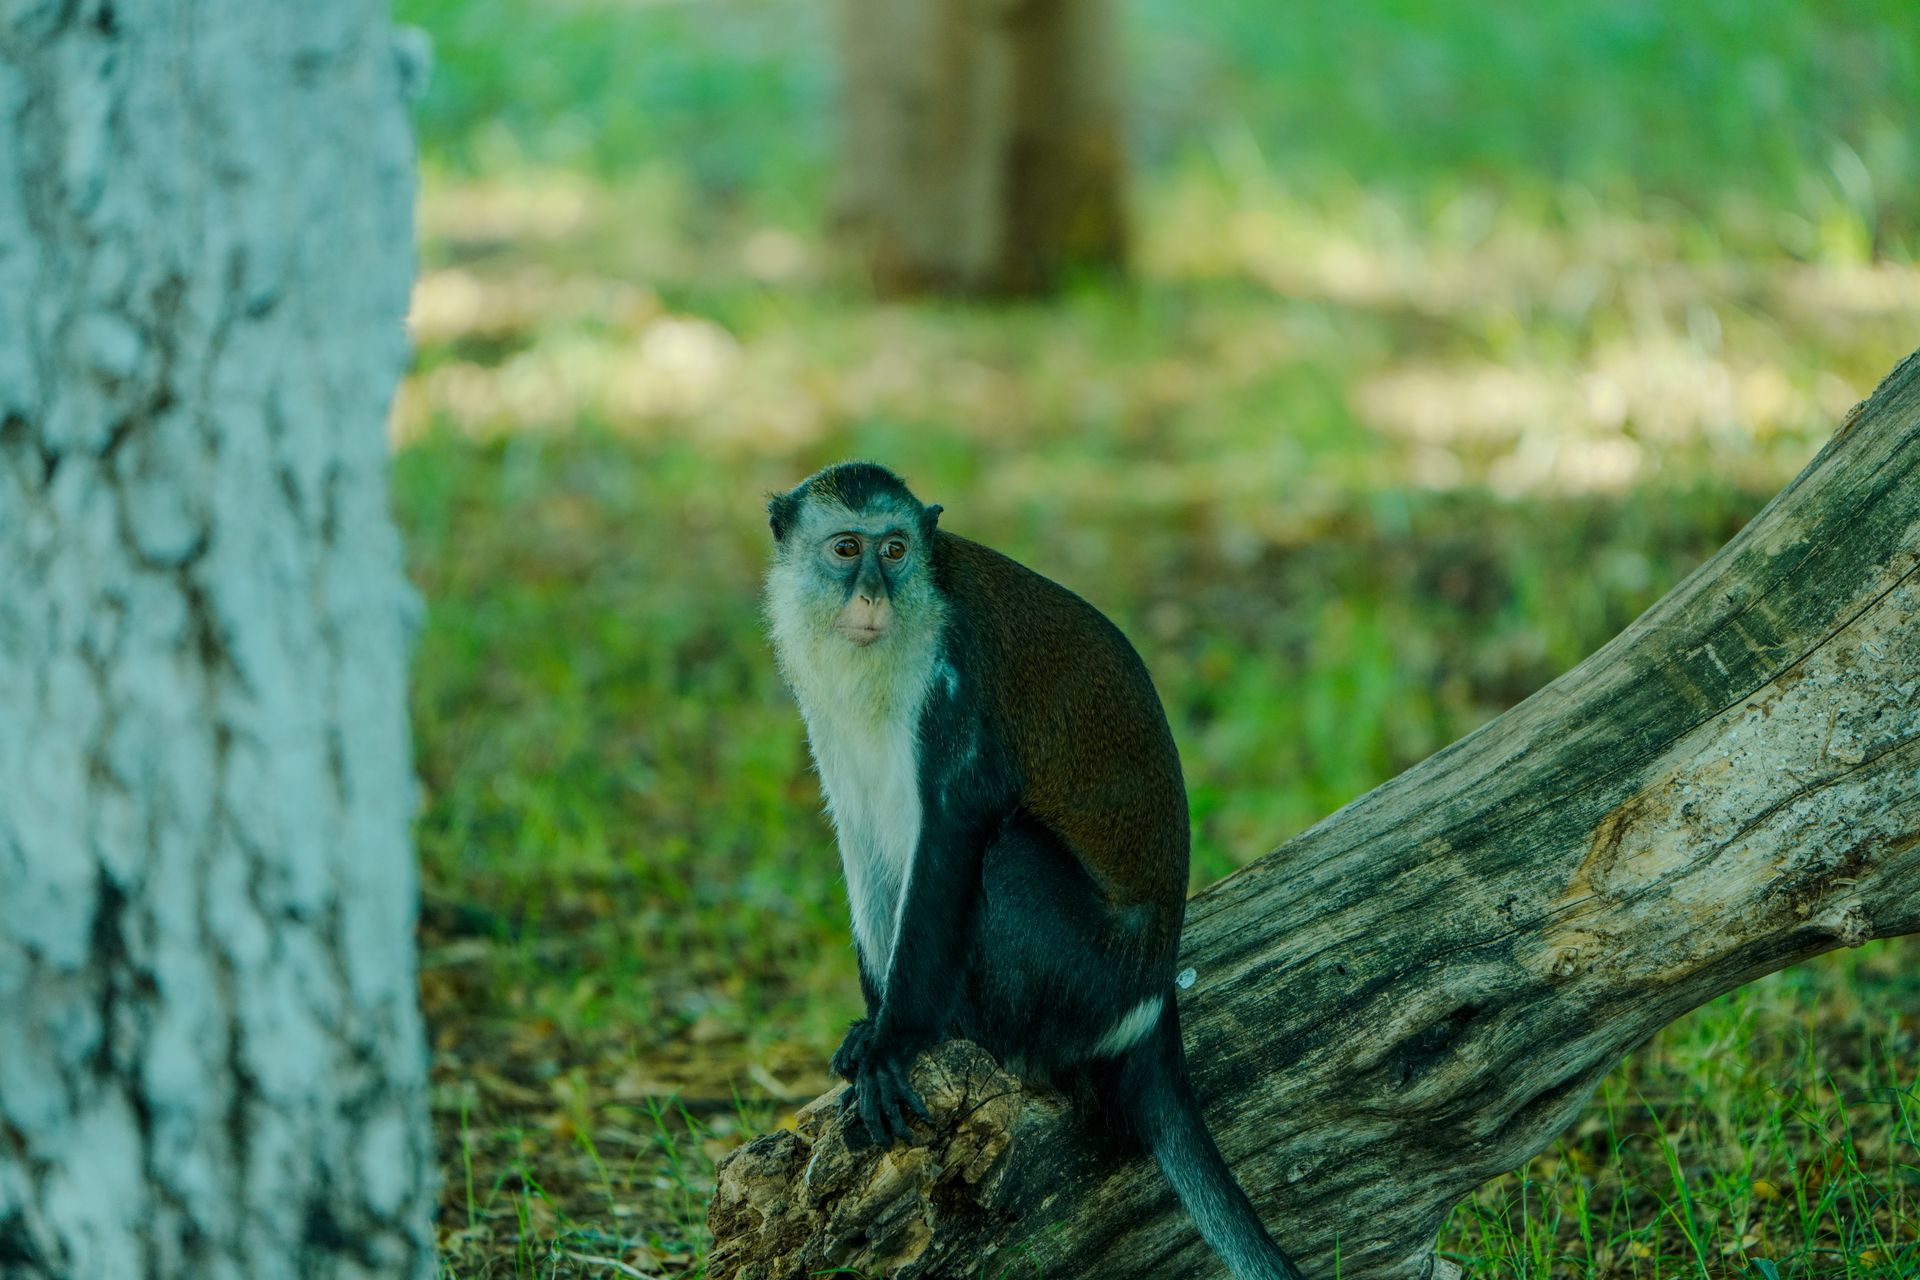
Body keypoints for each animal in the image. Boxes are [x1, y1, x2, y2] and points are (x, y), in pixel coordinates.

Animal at [763, 461, 1304, 1280]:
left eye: (895, 550)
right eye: (847, 548)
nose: (871, 594)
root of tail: (1152, 996)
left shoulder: (955, 688)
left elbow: (954, 835)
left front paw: (897, 1040)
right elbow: (862, 836)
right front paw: (871, 1023)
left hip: (1084, 974)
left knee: (1009, 855)